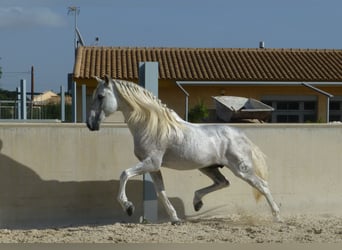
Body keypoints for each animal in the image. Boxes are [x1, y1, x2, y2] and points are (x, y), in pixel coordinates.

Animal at [86, 75, 280, 224]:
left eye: (101, 96)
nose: (90, 124)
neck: (152, 126)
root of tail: (241, 135)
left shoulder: (151, 162)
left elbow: (124, 174)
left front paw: (128, 207)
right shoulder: (154, 167)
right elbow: (161, 192)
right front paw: (175, 219)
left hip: (241, 169)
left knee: (262, 185)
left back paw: (277, 217)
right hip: (208, 167)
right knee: (223, 182)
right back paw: (197, 203)